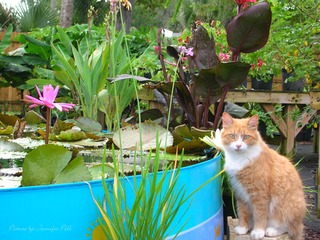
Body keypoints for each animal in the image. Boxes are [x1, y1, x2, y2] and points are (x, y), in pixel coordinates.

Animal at [218, 112, 304, 240]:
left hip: (284, 208)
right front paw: (243, 227)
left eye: (246, 137)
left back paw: (271, 230)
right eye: (232, 136)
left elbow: (259, 215)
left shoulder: (260, 195)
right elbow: (242, 212)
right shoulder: (240, 193)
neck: (239, 158)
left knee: (288, 227)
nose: (238, 145)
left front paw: (258, 231)